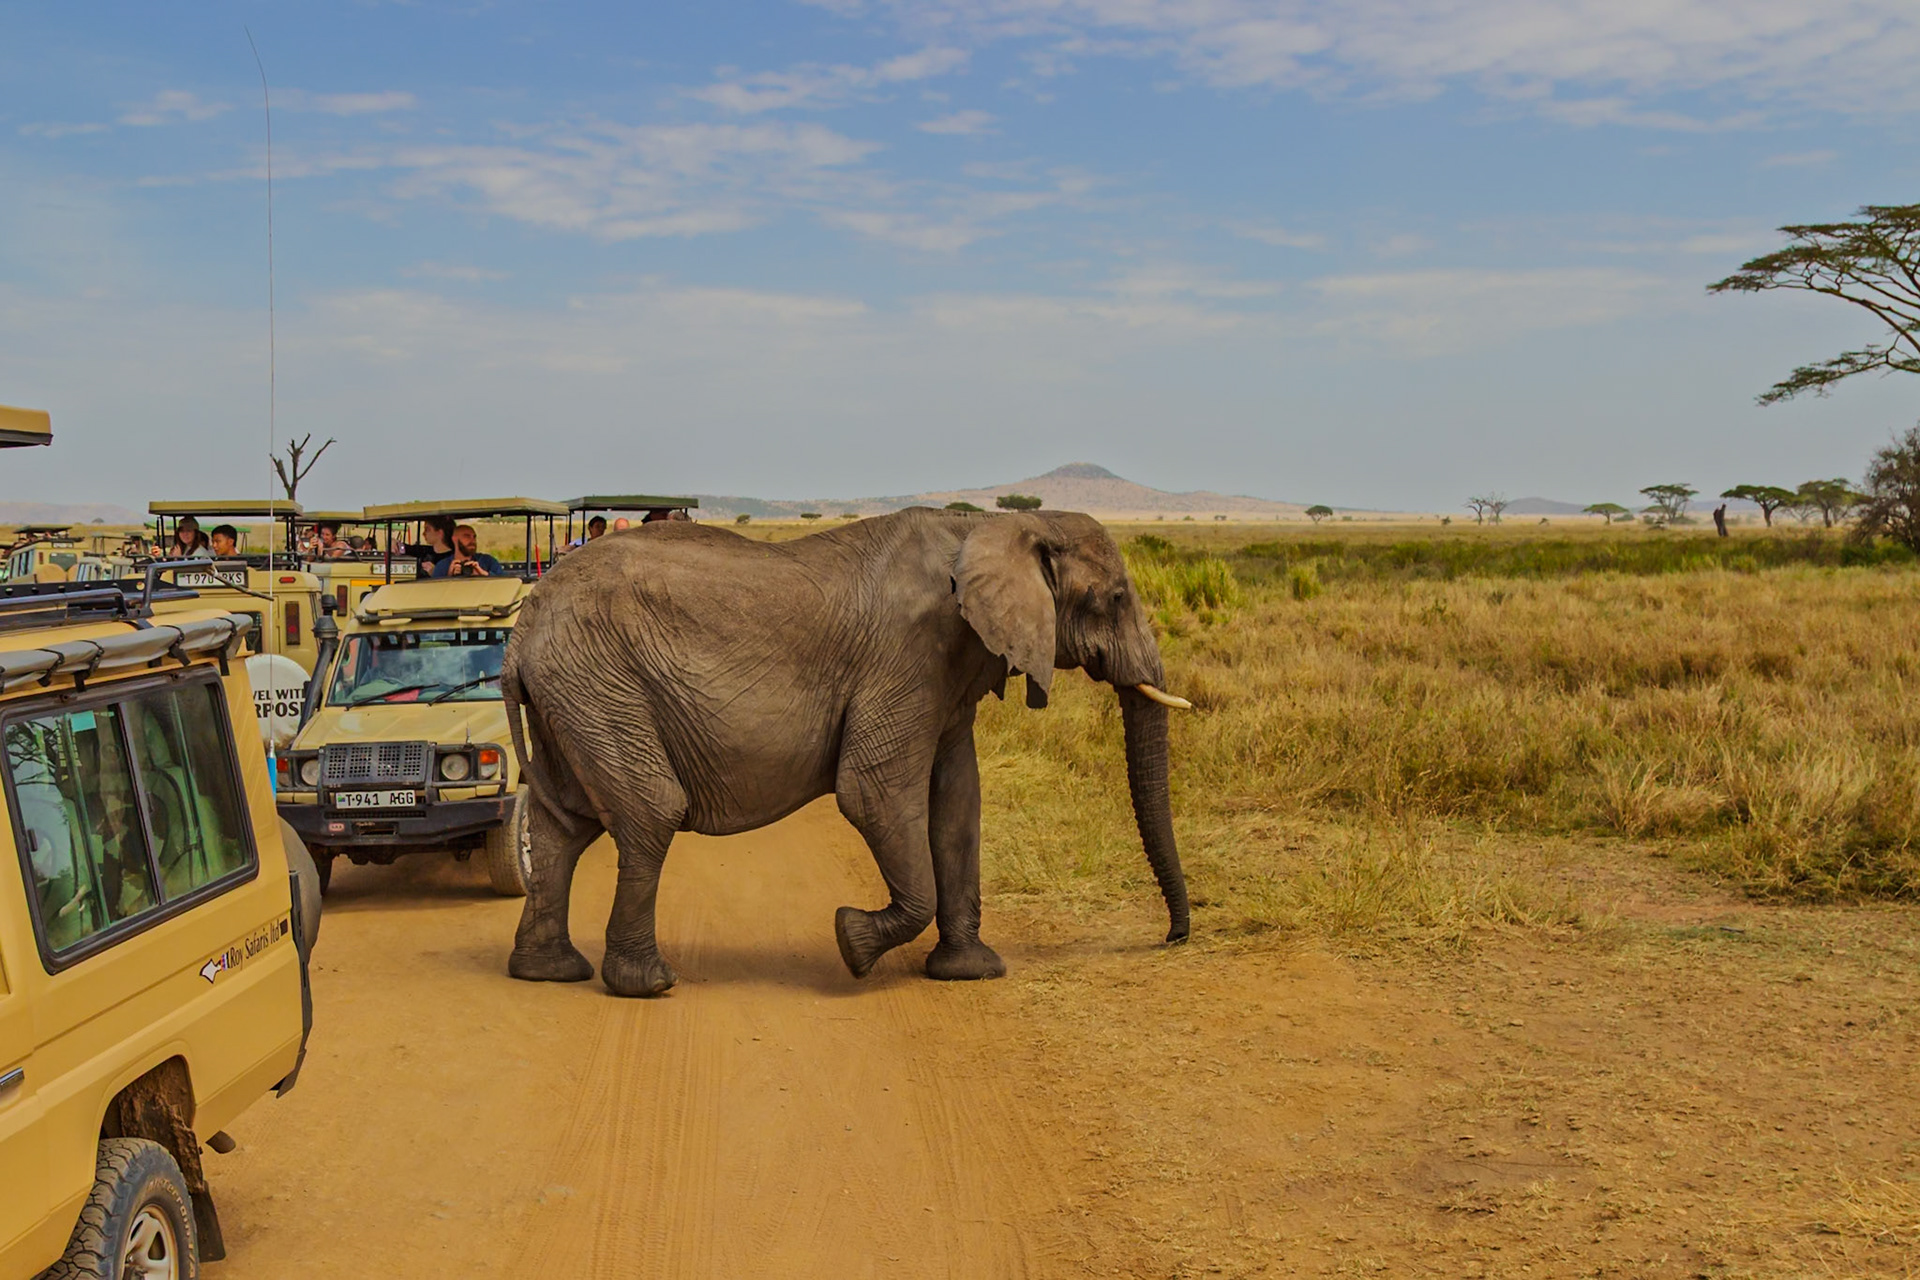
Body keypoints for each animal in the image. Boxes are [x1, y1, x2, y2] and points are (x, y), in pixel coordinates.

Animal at [500, 506, 1191, 997]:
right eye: (1116, 599)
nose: (1172, 939)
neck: (995, 526)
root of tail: (523, 628)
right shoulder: (911, 654)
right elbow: (873, 794)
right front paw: (850, 942)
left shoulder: (948, 671)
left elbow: (957, 805)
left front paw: (971, 972)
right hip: (598, 680)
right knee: (649, 811)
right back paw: (647, 984)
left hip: (576, 691)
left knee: (563, 825)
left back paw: (549, 972)